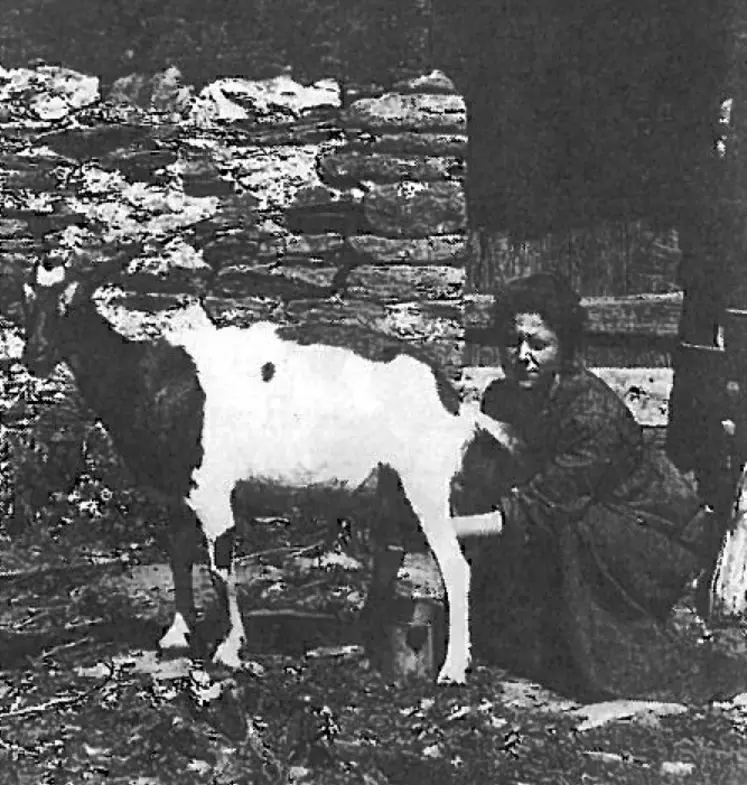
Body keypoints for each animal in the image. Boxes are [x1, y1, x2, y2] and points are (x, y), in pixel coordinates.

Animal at [23, 251, 516, 680]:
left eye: (72, 305)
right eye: (26, 302)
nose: (34, 356)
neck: (147, 379)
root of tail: (449, 396)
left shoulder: (212, 490)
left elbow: (220, 569)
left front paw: (229, 647)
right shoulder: (175, 493)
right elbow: (179, 558)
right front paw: (177, 634)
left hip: (425, 480)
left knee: (455, 565)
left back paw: (453, 669)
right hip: (389, 484)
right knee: (390, 552)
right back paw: (367, 634)